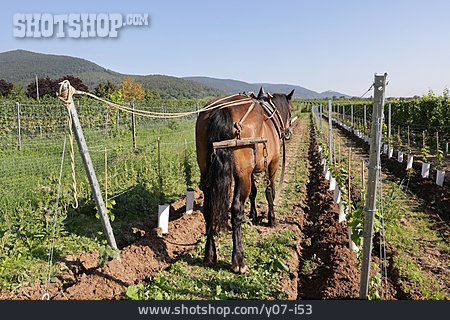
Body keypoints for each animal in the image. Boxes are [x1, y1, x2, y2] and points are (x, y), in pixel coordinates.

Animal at [194, 87, 294, 272]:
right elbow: (270, 191)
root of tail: (222, 110)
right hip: (242, 175)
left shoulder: (252, 171)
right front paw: (272, 219)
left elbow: (254, 192)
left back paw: (209, 254)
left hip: (207, 173)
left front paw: (254, 216)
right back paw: (238, 259)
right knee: (236, 210)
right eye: (291, 110)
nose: (288, 132)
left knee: (209, 209)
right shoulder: (273, 163)